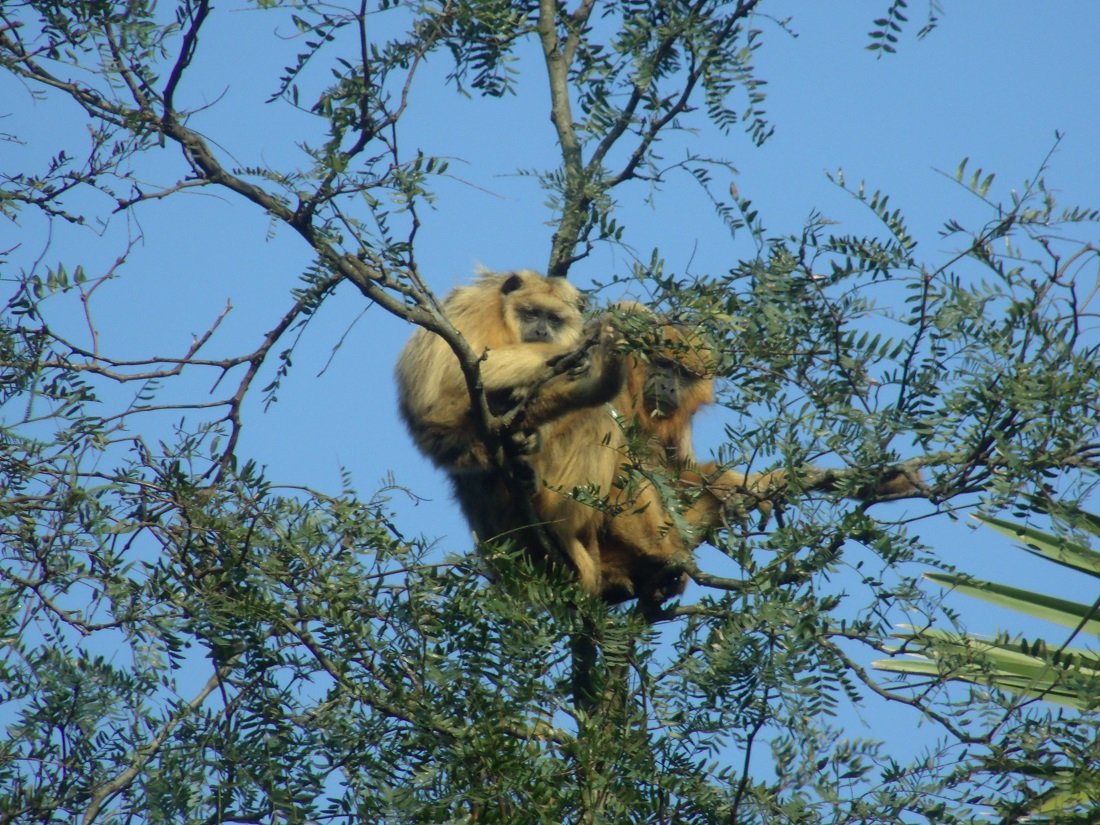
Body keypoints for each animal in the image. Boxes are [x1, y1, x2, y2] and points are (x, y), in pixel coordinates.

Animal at [395, 269, 626, 595]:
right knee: (596, 419)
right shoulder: (476, 309)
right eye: (530, 313)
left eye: (554, 319)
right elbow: (454, 371)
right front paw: (565, 353)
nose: (541, 332)